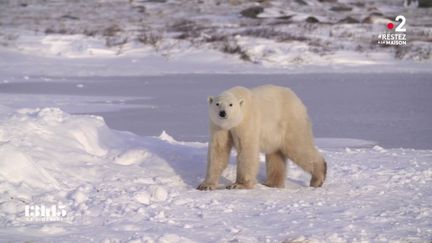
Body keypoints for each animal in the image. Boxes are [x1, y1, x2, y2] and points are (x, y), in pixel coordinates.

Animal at [197, 85, 326, 190]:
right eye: (217, 104)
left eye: (230, 104)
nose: (223, 113)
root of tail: (297, 100)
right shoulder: (219, 127)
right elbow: (219, 150)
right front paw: (206, 185)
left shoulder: (247, 122)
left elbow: (246, 150)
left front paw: (238, 185)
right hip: (275, 134)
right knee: (275, 155)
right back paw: (272, 183)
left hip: (290, 122)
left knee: (299, 146)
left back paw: (318, 178)